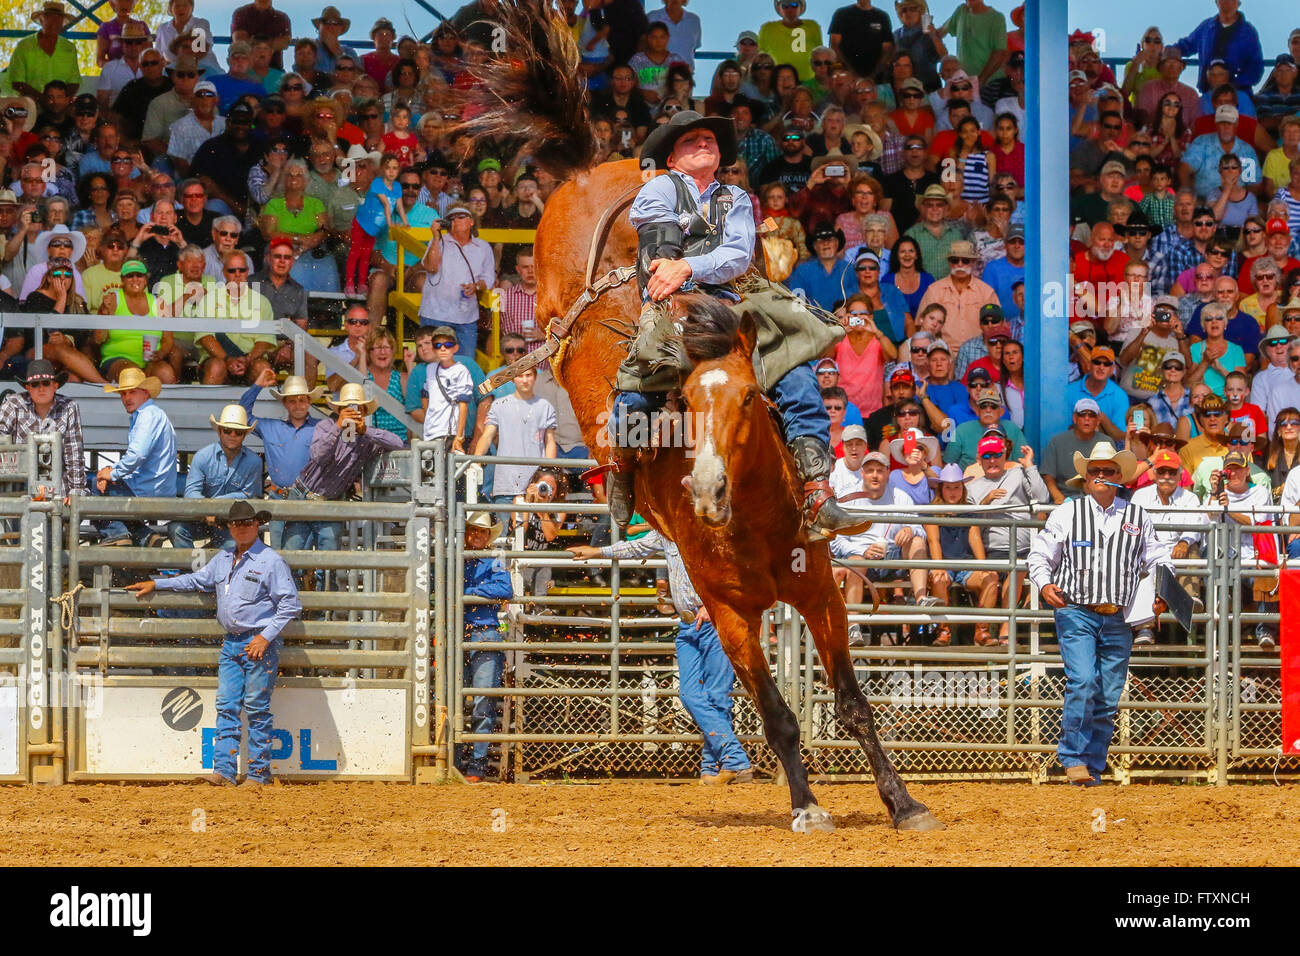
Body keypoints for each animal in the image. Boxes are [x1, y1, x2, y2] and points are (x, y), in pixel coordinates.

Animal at [450, 0, 941, 832]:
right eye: (684, 401)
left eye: (748, 398)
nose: (707, 490)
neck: (755, 515)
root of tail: (593, 167)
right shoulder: (729, 614)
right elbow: (776, 714)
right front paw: (807, 807)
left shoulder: (820, 591)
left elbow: (851, 703)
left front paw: (904, 803)